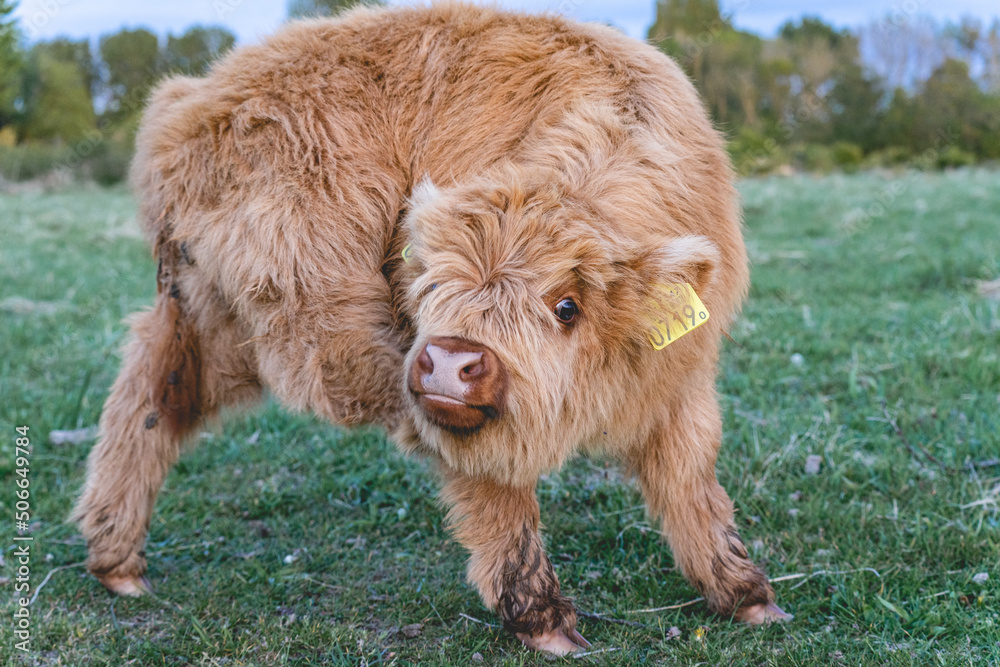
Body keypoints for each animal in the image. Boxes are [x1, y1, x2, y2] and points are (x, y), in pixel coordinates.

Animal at [72, 3, 790, 655]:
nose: (449, 360)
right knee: (159, 398)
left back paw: (116, 561)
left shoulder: (682, 380)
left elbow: (692, 480)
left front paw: (748, 595)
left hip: (204, 313)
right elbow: (498, 494)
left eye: (567, 305)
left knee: (152, 400)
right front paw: (544, 622)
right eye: (430, 286)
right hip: (284, 318)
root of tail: (192, 99)